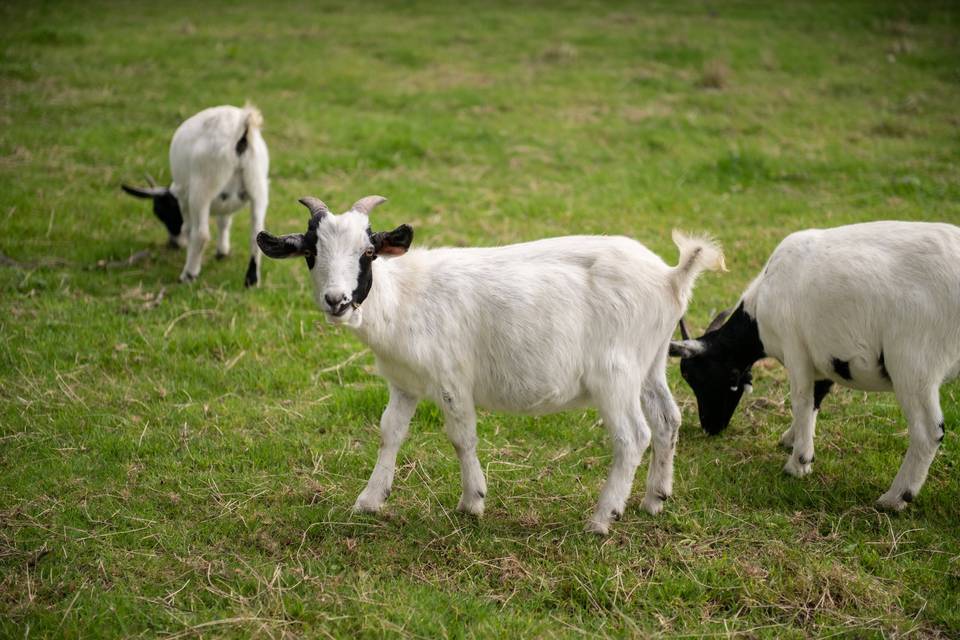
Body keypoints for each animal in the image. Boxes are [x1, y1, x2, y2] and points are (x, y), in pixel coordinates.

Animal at [122, 104, 269, 287]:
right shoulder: (226, 203)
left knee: (201, 234)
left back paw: (188, 274)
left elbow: (188, 227)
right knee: (256, 232)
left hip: (202, 188)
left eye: (161, 212)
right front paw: (222, 252)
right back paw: (251, 280)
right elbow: (224, 222)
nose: (173, 244)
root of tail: (241, 128)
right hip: (258, 186)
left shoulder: (184, 199)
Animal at [256, 196, 725, 533]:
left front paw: (472, 502)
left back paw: (602, 518)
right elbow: (390, 433)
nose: (337, 301)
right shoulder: (404, 383)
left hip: (615, 373)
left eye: (369, 252)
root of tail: (671, 277)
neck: (405, 297)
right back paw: (654, 500)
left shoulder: (451, 378)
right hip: (650, 364)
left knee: (632, 436)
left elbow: (462, 437)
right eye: (311, 252)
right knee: (667, 420)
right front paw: (370, 500)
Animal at [670, 221, 960, 511]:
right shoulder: (823, 358)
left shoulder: (795, 348)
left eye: (695, 376)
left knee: (928, 431)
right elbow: (815, 399)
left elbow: (801, 399)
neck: (761, 306)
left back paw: (895, 498)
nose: (710, 427)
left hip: (913, 363)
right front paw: (792, 439)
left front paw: (798, 463)